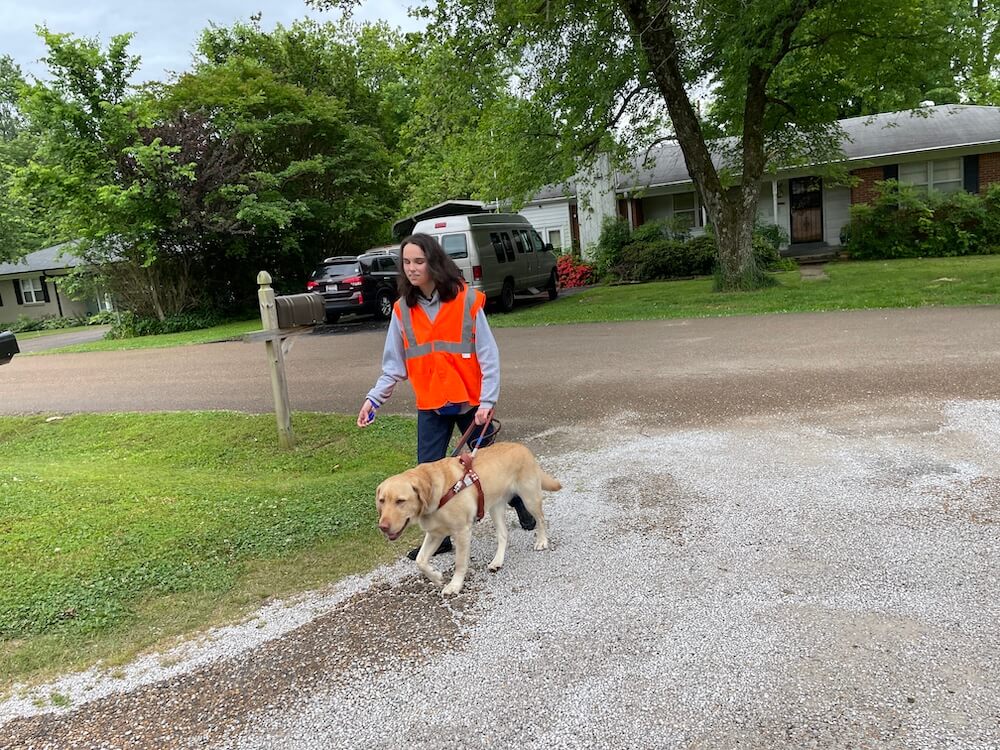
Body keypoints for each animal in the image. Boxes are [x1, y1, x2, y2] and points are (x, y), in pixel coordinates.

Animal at [376, 444, 564, 596]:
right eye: (382, 500)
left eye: (400, 501)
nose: (382, 526)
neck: (438, 492)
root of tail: (522, 447)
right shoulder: (435, 534)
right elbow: (420, 561)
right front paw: (436, 577)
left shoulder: (462, 531)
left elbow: (460, 562)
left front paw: (454, 585)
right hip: (495, 507)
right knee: (503, 534)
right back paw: (497, 561)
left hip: (529, 497)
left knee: (541, 519)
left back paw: (541, 541)